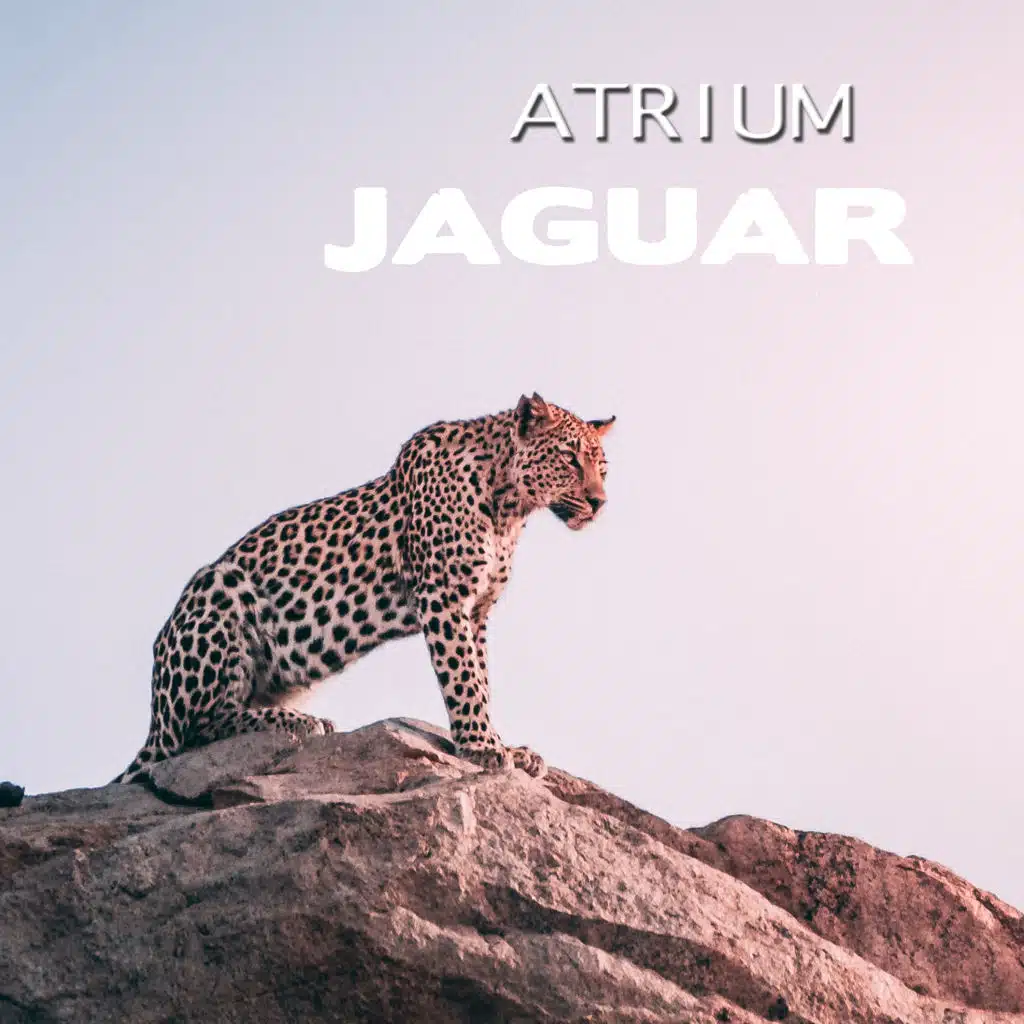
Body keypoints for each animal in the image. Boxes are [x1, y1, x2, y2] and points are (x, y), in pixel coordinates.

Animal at [114, 394, 614, 783]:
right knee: (195, 731)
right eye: (570, 459)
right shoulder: (444, 597)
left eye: (603, 468)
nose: (599, 502)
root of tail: (154, 718)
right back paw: (301, 722)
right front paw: (482, 747)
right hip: (219, 587)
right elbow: (463, 679)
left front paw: (504, 744)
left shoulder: (477, 611)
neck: (509, 506)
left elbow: (482, 678)